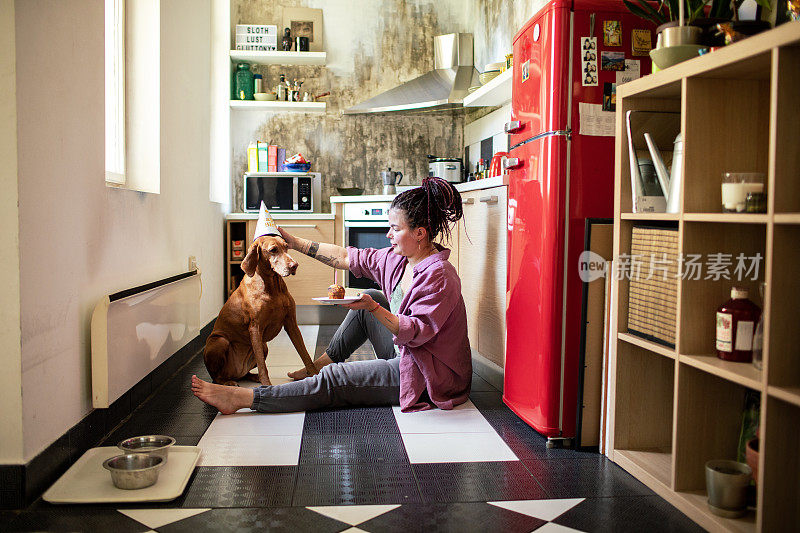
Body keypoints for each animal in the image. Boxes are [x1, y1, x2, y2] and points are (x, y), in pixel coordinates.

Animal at [203, 235, 318, 384]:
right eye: (273, 250)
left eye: (286, 246)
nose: (294, 265)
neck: (273, 286)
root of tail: (235, 373)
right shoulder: (255, 328)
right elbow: (262, 364)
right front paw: (267, 384)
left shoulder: (291, 323)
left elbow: (304, 353)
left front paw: (315, 373)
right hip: (219, 341)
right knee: (216, 377)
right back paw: (227, 382)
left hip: (264, 346)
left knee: (245, 374)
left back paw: (253, 376)